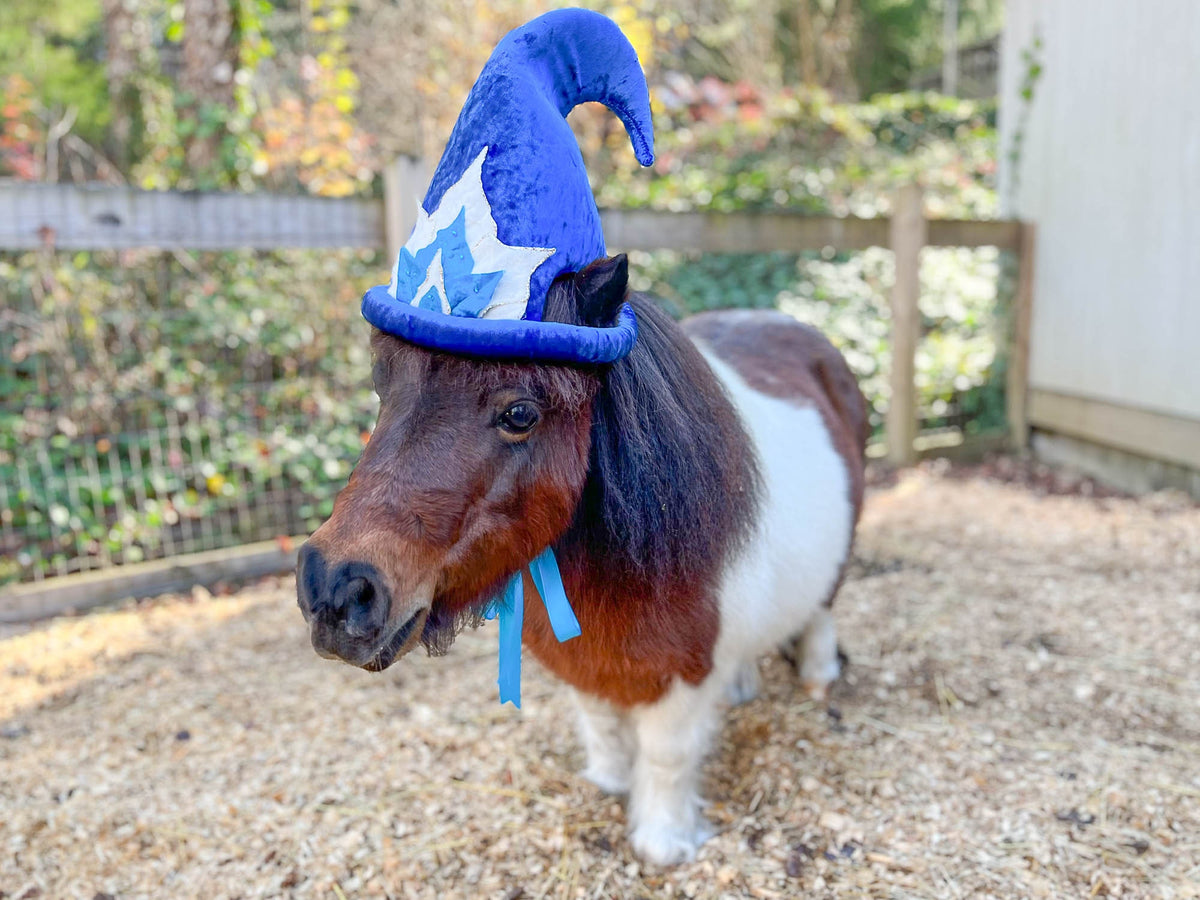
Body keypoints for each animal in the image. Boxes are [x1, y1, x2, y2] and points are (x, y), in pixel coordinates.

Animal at [296, 253, 869, 864]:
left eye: (520, 413)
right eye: (384, 387)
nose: (334, 591)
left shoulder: (684, 678)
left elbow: (667, 757)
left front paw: (664, 841)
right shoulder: (582, 663)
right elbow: (601, 725)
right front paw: (610, 782)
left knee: (821, 614)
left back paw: (817, 678)